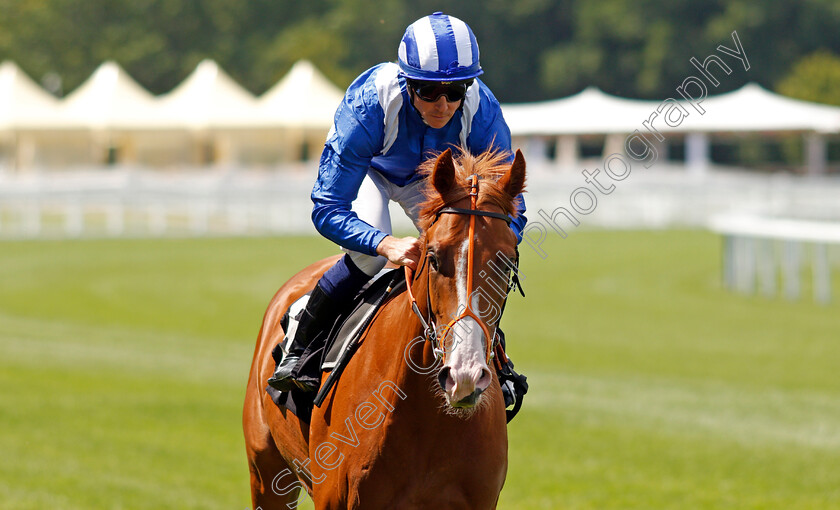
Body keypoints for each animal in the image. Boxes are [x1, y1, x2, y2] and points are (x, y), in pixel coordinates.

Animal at [243, 147, 528, 510]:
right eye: (433, 257)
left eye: (505, 263)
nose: (464, 375)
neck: (429, 419)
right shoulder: (335, 499)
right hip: (264, 470)